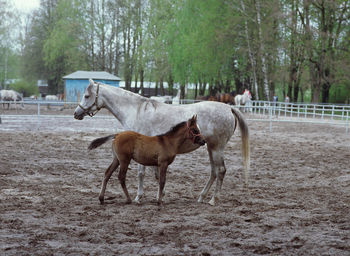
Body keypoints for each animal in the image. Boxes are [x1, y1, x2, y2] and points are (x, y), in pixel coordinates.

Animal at [74, 79, 249, 206]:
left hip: (217, 148)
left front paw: (139, 197)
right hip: (211, 148)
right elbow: (156, 174)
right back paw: (201, 197)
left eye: (87, 96)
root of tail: (229, 108)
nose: (76, 113)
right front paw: (160, 195)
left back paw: (213, 199)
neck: (136, 110)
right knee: (214, 172)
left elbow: (142, 174)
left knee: (221, 171)